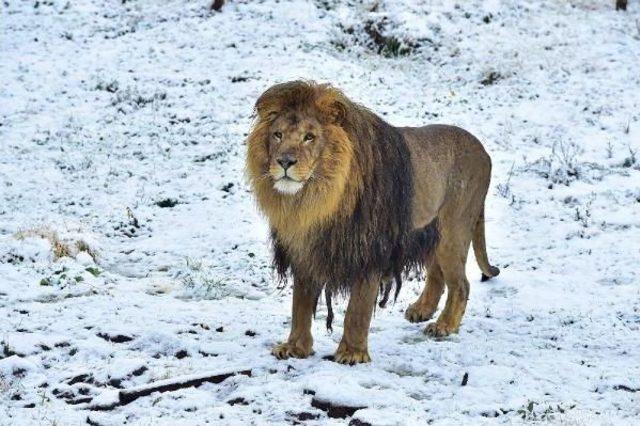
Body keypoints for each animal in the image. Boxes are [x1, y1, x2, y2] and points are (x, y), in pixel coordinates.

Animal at [245, 81, 500, 364]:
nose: (285, 162)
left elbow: (357, 310)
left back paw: (444, 326)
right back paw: (422, 310)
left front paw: (351, 353)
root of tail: (482, 150)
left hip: (454, 229)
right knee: (437, 273)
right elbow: (299, 306)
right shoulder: (306, 249)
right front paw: (295, 348)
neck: (316, 199)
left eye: (309, 137)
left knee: (461, 284)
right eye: (277, 135)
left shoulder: (370, 249)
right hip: (431, 229)